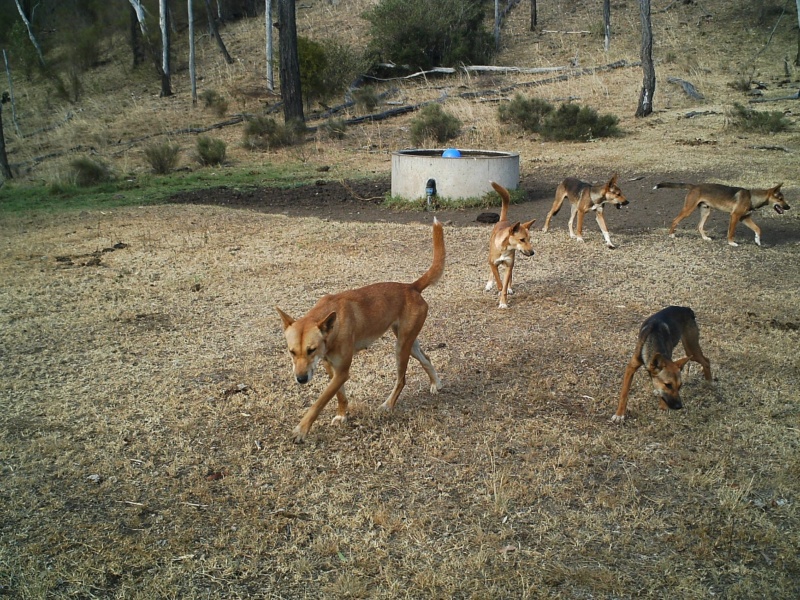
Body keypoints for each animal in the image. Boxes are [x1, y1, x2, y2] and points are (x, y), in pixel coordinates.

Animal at [276, 217, 444, 440]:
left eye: (311, 350)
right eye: (292, 352)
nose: (301, 379)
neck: (332, 327)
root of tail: (411, 287)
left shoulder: (342, 371)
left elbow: (319, 402)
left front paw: (302, 429)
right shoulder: (331, 367)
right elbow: (340, 395)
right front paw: (342, 415)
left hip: (401, 348)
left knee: (401, 380)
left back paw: (388, 405)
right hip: (409, 342)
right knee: (427, 358)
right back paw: (435, 383)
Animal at [484, 180, 536, 308]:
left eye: (529, 239)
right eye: (522, 239)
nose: (532, 252)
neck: (505, 248)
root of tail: (503, 220)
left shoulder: (509, 265)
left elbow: (506, 282)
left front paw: (503, 301)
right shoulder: (493, 263)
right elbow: (498, 280)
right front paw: (498, 288)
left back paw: (509, 288)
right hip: (491, 258)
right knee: (492, 272)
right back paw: (489, 284)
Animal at [656, 179, 788, 245]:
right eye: (780, 199)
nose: (788, 207)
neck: (751, 197)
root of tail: (694, 186)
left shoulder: (744, 218)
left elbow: (758, 229)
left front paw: (757, 241)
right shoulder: (734, 216)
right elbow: (731, 232)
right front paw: (731, 243)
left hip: (706, 211)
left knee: (699, 226)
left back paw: (705, 238)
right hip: (689, 210)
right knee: (675, 220)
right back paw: (671, 234)